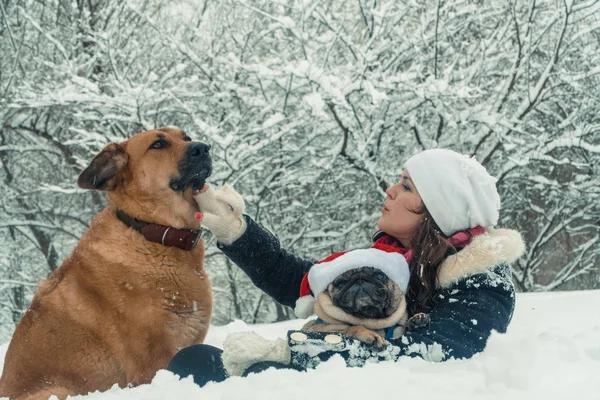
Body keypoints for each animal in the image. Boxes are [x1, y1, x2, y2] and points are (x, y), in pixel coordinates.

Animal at [0, 128, 214, 400]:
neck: (149, 232)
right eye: (158, 144)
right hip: (56, 391)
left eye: (186, 137)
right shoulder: (154, 362)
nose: (203, 147)